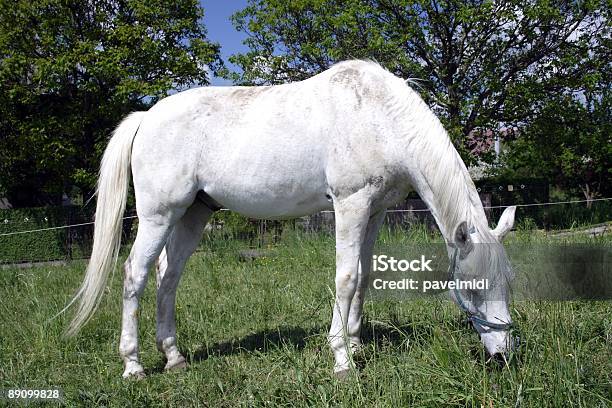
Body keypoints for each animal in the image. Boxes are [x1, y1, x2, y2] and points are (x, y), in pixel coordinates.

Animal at [65, 59, 516, 378]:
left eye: (508, 284)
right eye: (472, 288)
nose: (503, 356)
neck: (378, 116)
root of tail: (146, 117)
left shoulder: (375, 211)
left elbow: (364, 276)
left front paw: (356, 346)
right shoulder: (350, 204)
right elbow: (346, 278)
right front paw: (342, 360)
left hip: (194, 213)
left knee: (168, 276)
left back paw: (174, 358)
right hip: (159, 215)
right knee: (135, 275)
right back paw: (134, 366)